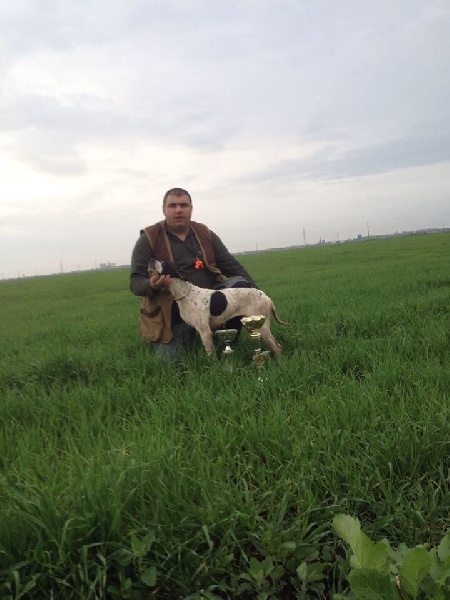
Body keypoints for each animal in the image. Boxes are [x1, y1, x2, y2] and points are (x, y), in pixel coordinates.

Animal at [148, 258, 290, 356]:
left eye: (164, 262)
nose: (151, 260)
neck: (185, 294)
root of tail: (267, 298)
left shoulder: (205, 331)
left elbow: (211, 355)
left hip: (262, 327)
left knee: (278, 347)